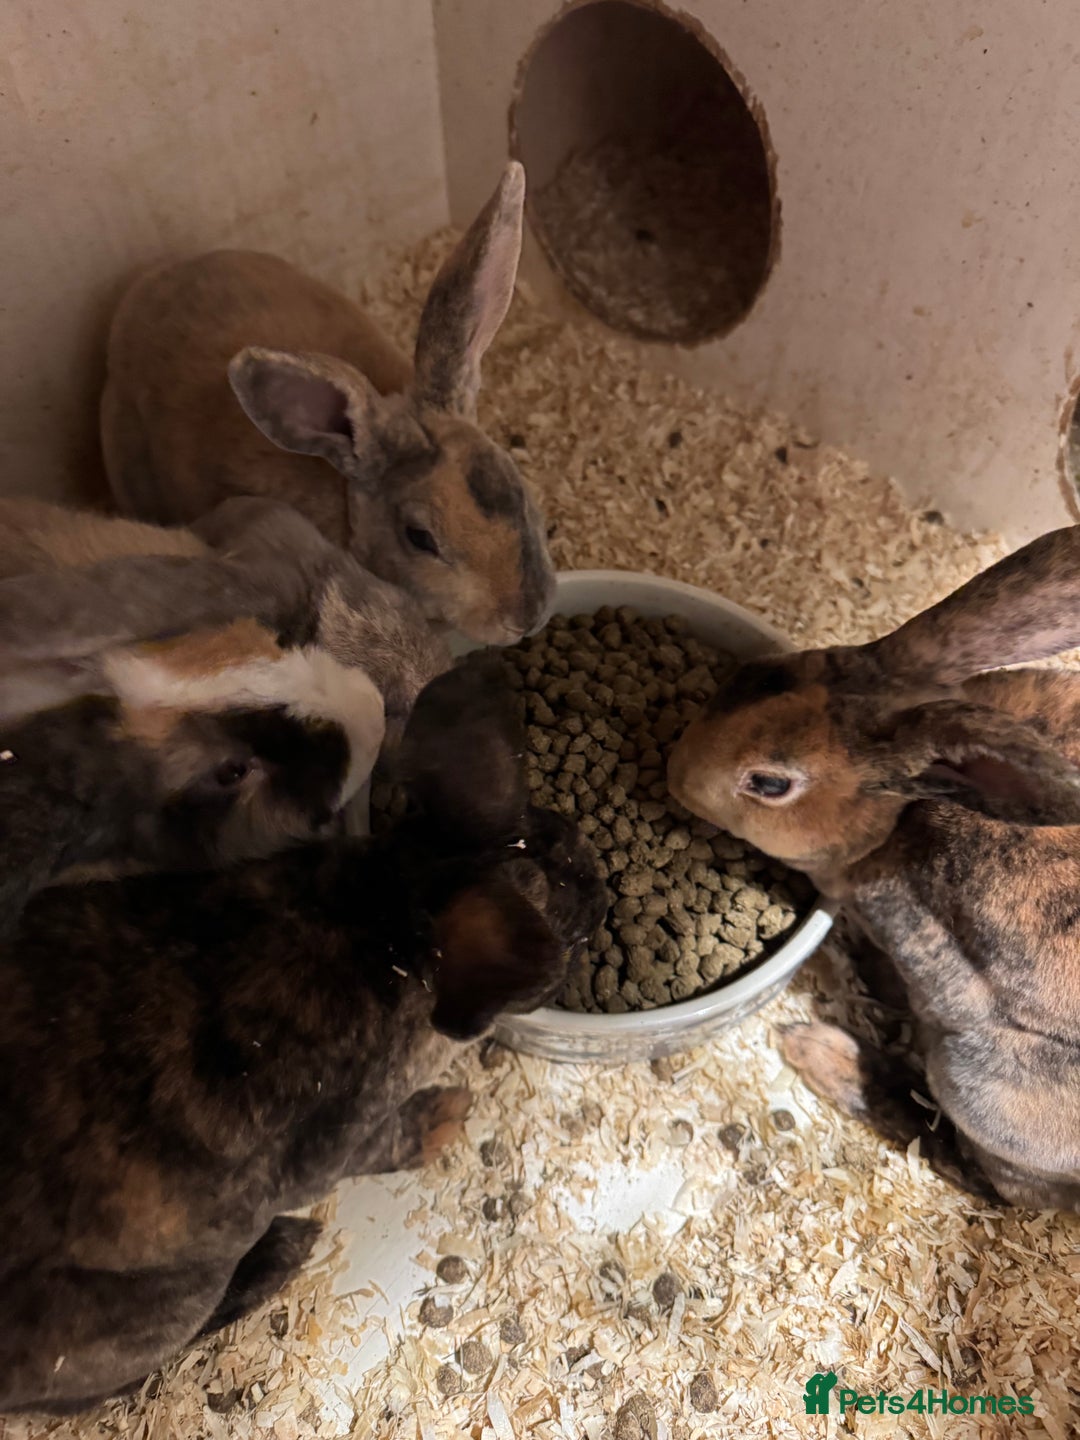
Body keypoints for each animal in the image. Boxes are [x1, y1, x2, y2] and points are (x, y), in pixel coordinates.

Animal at [0, 658, 606, 1414]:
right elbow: (391, 1142)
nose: (603, 891)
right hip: (170, 1297)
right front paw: (446, 1116)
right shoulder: (341, 1143)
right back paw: (285, 1248)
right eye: (573, 935)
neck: (382, 913)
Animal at [667, 523, 1080, 1210]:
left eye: (770, 783)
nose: (676, 773)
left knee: (983, 1179)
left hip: (983, 1088)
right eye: (760, 673)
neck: (902, 814)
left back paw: (823, 1052)